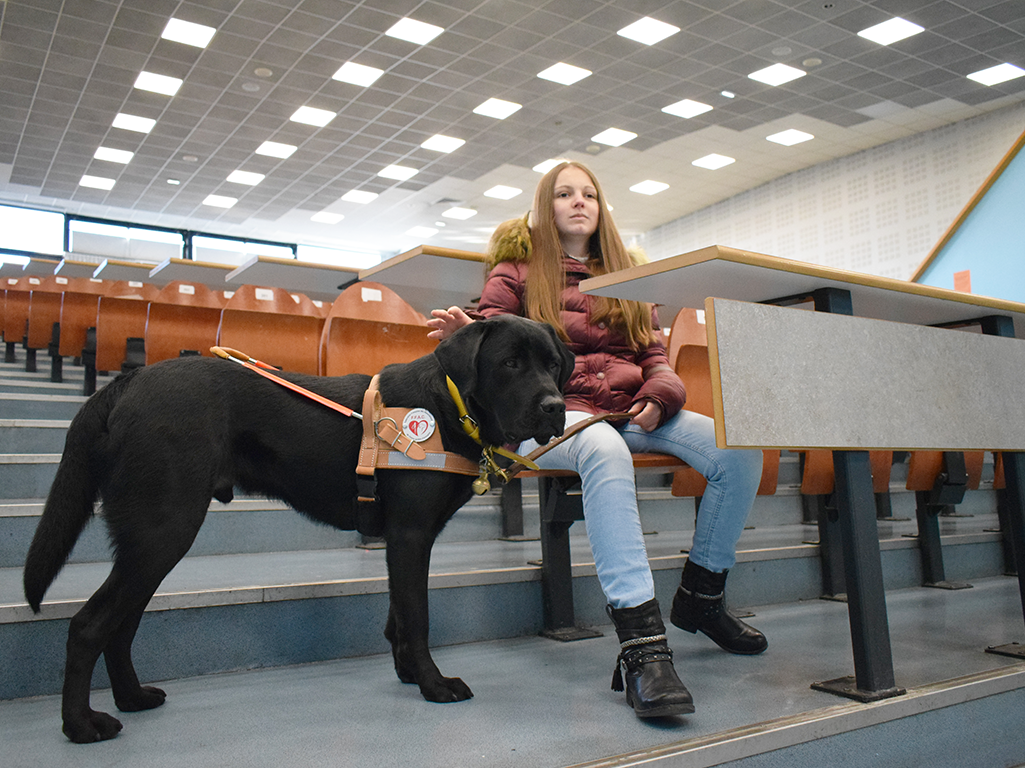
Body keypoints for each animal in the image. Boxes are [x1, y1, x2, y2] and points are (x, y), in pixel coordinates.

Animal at [24, 313, 574, 738]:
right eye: (509, 363)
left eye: (552, 365)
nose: (555, 407)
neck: (448, 405)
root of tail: (128, 381)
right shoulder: (411, 534)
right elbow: (417, 617)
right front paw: (434, 686)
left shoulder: (406, 538)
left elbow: (398, 614)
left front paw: (407, 674)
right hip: (163, 529)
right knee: (89, 625)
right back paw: (80, 725)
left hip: (149, 540)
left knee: (121, 624)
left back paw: (133, 698)